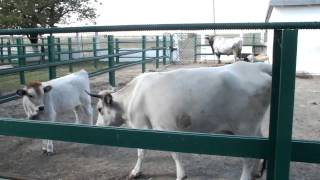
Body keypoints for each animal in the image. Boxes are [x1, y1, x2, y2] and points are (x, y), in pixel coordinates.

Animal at [88, 62, 272, 180]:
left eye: (99, 109)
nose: (96, 127)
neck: (132, 96)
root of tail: (255, 66)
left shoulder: (154, 126)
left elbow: (150, 152)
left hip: (245, 128)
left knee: (248, 158)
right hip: (253, 127)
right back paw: (257, 171)